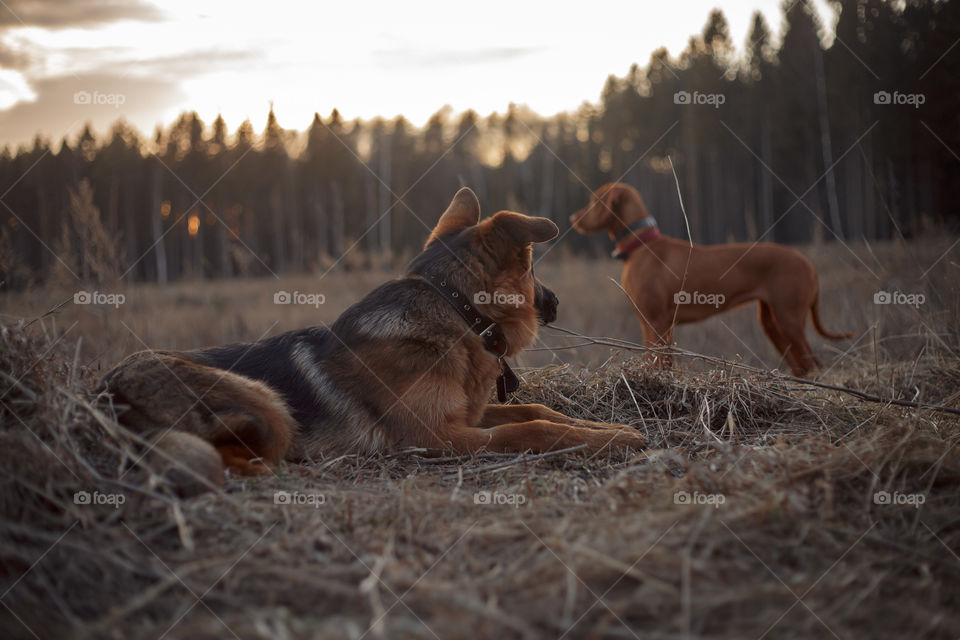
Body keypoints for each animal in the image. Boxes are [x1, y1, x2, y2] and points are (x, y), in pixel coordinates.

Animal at [103, 188, 644, 488]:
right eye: (532, 269)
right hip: (264, 402)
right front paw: (609, 440)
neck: (457, 310)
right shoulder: (434, 437)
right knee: (239, 461)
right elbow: (531, 429)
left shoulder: (464, 416)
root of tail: (107, 392)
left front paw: (608, 429)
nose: (556, 303)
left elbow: (536, 409)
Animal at [568, 182, 852, 378]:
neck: (641, 245)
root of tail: (807, 262)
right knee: (801, 366)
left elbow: (662, 361)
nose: (572, 218)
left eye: (593, 201)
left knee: (813, 362)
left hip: (789, 318)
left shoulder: (658, 322)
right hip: (772, 322)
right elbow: (653, 359)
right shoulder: (648, 323)